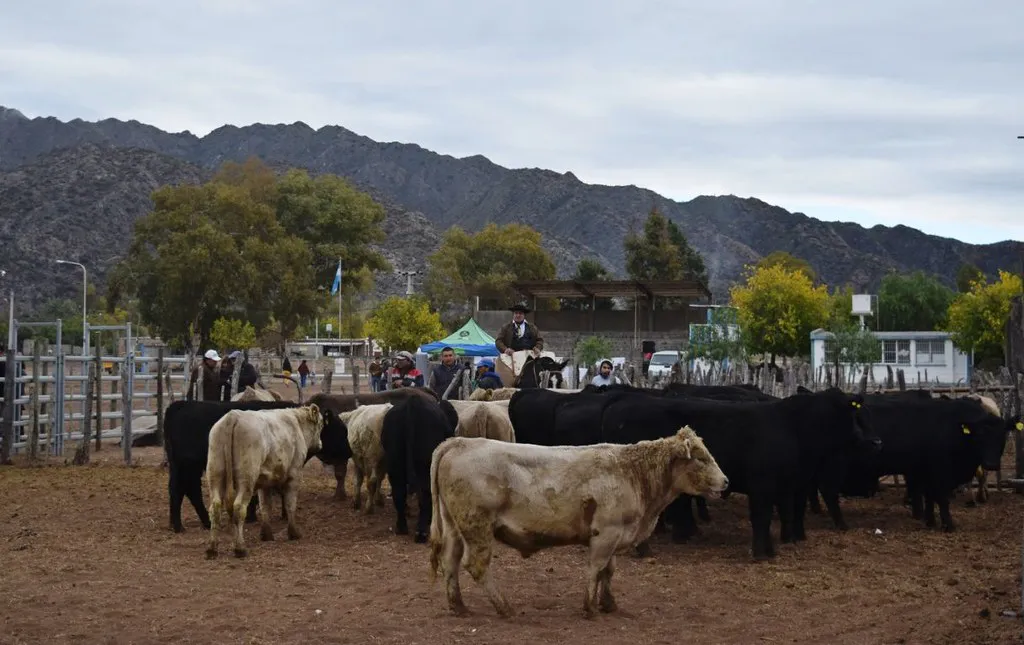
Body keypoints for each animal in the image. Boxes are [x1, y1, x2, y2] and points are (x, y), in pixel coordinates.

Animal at [204, 403, 345, 558]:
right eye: (320, 425)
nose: (320, 444)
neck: (296, 423)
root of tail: (233, 416)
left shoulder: (265, 483)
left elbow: (265, 507)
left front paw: (266, 534)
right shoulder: (294, 476)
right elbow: (290, 504)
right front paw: (293, 533)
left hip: (215, 475)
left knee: (215, 508)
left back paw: (212, 548)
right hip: (246, 480)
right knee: (239, 508)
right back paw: (240, 548)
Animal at [381, 395, 458, 543]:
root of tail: (413, 402)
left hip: (395, 464)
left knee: (399, 492)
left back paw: (402, 527)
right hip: (425, 465)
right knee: (426, 492)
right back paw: (422, 531)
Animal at [427, 426, 729, 618]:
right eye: (700, 458)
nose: (726, 482)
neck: (632, 472)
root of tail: (459, 442)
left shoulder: (617, 535)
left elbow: (609, 571)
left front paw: (609, 603)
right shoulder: (606, 533)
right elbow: (596, 569)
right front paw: (590, 607)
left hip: (455, 527)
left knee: (450, 561)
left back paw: (458, 606)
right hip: (476, 527)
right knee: (476, 566)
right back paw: (504, 608)